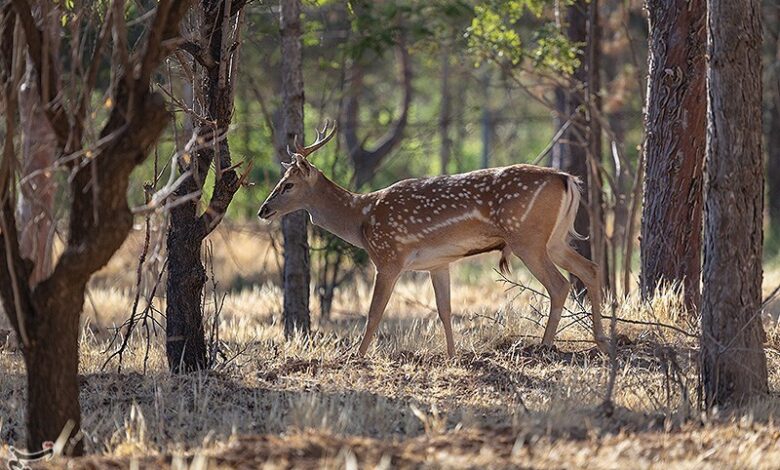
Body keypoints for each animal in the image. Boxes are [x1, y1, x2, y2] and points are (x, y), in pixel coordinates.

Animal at [258, 121, 612, 356]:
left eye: (288, 184)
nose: (264, 209)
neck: (361, 218)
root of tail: (567, 178)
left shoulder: (389, 257)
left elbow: (374, 313)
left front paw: (357, 357)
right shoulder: (438, 263)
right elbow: (445, 311)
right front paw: (453, 355)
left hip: (528, 238)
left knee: (560, 284)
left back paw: (545, 345)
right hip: (554, 239)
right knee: (591, 268)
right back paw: (601, 339)